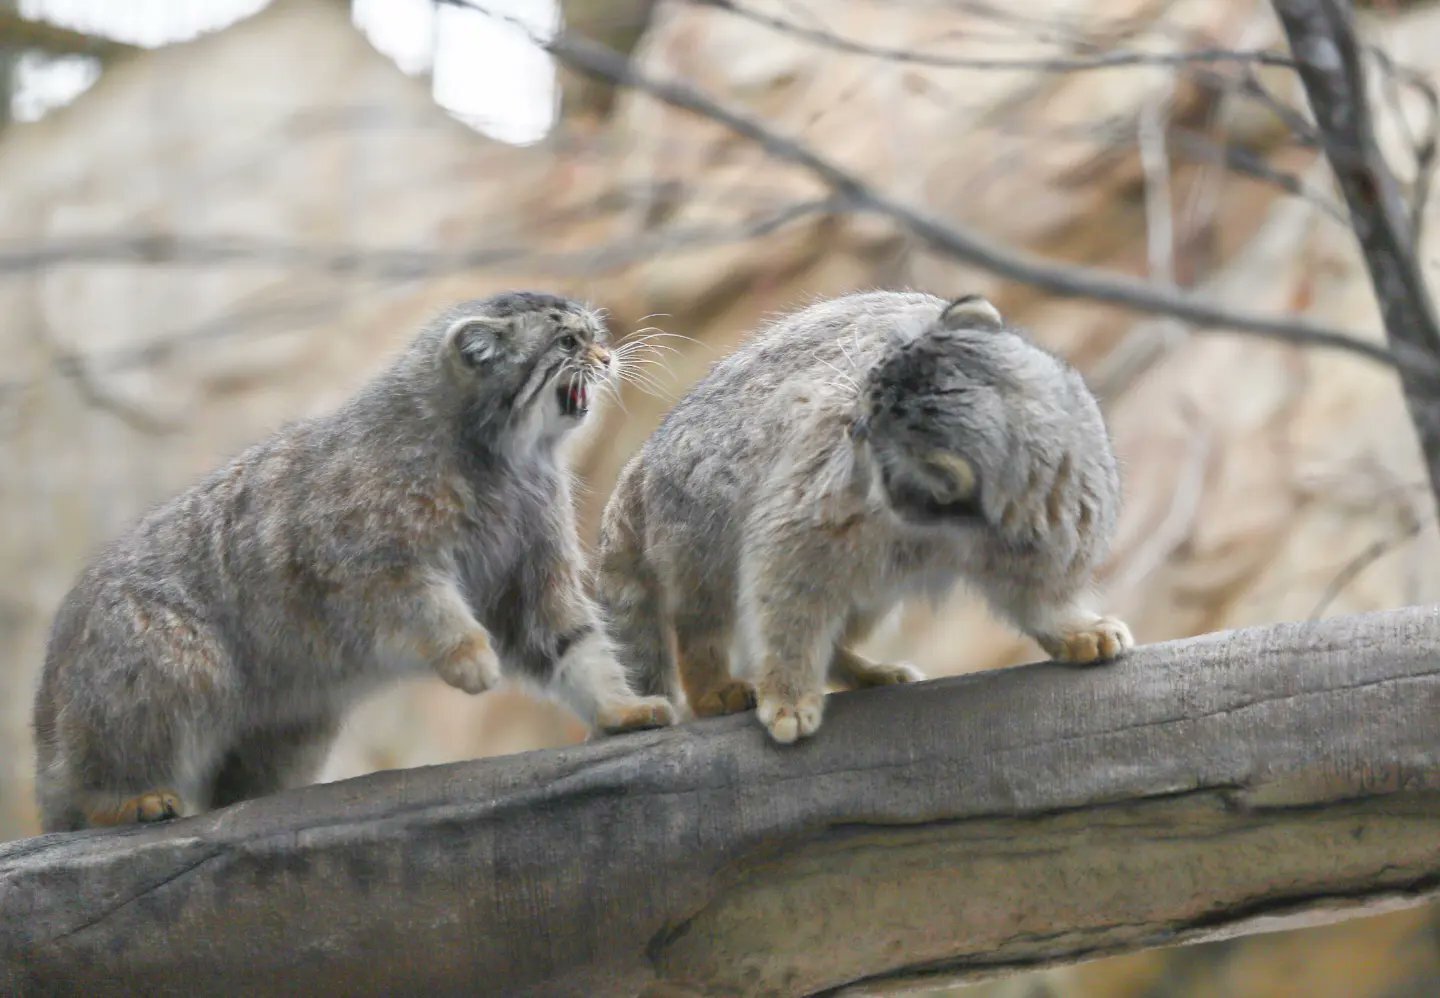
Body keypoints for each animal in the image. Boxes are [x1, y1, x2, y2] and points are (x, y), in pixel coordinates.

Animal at [33, 289, 673, 835]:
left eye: (595, 335)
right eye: (568, 343)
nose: (609, 355)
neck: (501, 459)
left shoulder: (532, 574)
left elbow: (575, 644)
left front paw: (620, 708)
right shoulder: (370, 567)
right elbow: (433, 611)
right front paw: (470, 658)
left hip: (290, 729)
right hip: (172, 665)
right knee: (94, 775)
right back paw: (123, 801)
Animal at [593, 288, 1123, 737]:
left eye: (875, 428)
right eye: (863, 394)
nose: (849, 425)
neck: (961, 528)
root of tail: (642, 460)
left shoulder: (1045, 539)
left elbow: (1037, 599)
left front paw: (1069, 628)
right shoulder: (803, 526)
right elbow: (789, 603)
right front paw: (788, 692)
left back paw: (862, 670)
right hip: (702, 531)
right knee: (701, 620)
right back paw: (710, 686)